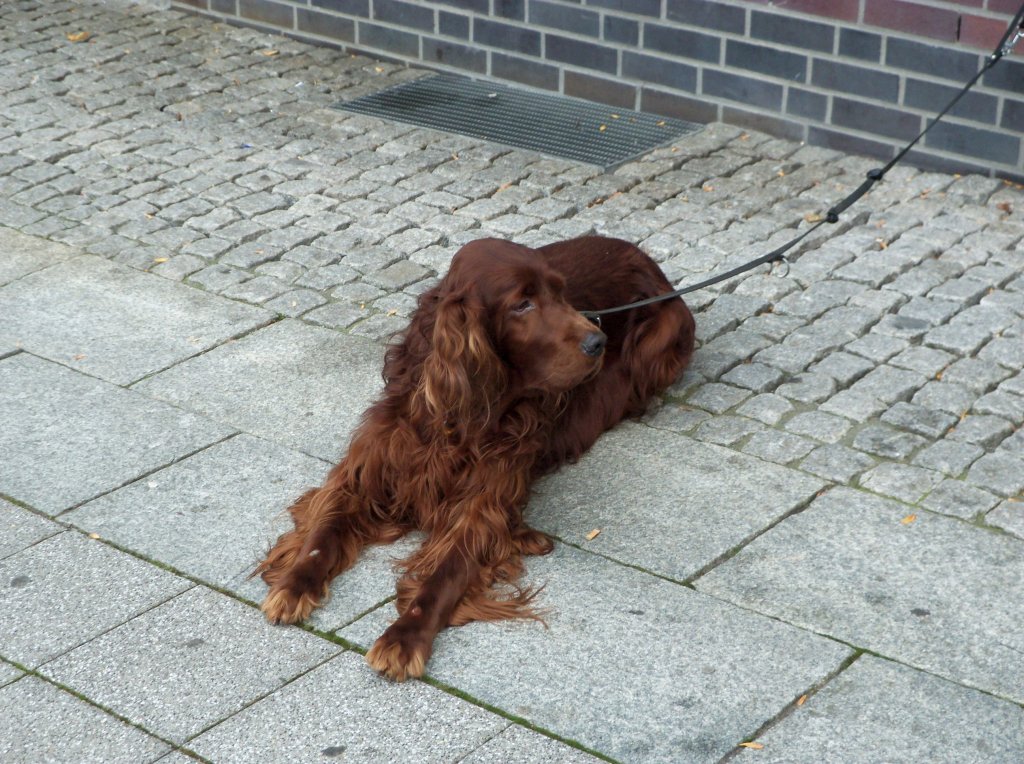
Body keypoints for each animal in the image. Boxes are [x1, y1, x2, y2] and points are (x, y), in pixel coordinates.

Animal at [256, 233, 696, 680]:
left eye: (560, 293)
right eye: (522, 304)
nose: (599, 342)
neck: (454, 417)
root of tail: (648, 261)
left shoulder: (481, 509)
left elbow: (444, 575)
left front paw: (404, 637)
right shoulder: (366, 474)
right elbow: (323, 533)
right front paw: (293, 584)